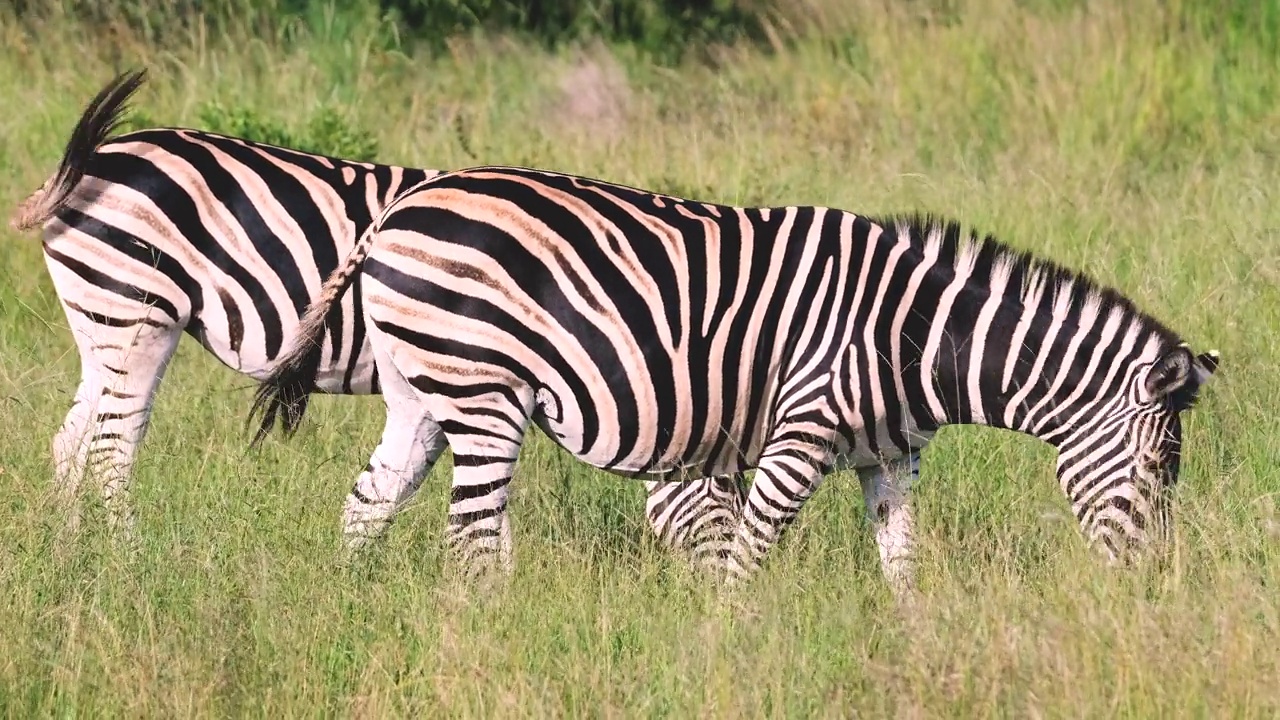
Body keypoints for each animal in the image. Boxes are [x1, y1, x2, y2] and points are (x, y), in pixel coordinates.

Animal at [10, 68, 747, 561]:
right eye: (729, 492)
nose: (730, 612)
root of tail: (94, 157)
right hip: (137, 311)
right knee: (111, 448)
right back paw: (127, 558)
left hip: (100, 322)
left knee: (72, 442)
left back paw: (73, 555)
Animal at [249, 165, 1218, 586]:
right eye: (1160, 470)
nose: (1152, 590)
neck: (914, 337)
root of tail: (405, 204)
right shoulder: (802, 433)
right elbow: (747, 556)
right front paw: (728, 649)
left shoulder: (889, 459)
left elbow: (903, 567)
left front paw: (918, 657)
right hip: (484, 393)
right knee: (474, 540)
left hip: (421, 393)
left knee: (367, 509)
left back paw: (351, 615)